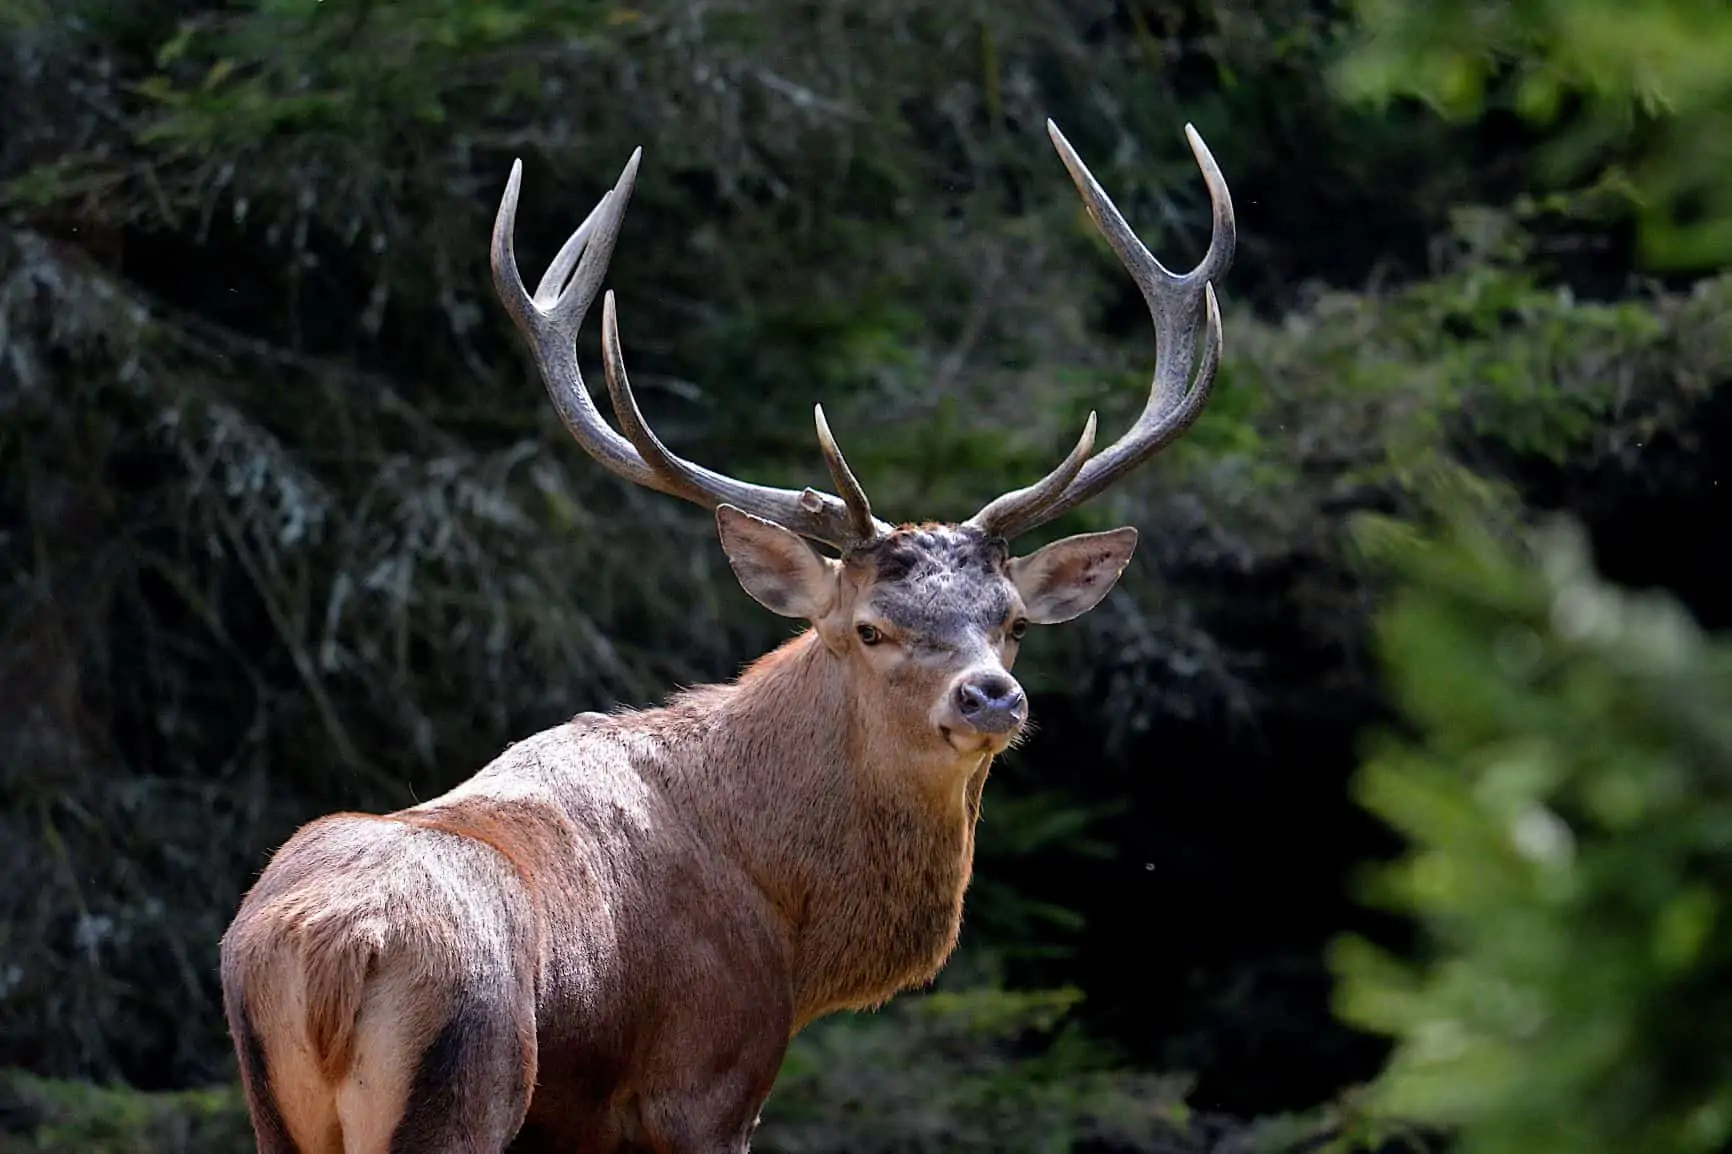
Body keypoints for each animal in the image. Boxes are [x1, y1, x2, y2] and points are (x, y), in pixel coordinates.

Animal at [218, 117, 1233, 1154]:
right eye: (870, 629)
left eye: (1014, 622)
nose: (992, 694)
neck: (790, 925)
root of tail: (332, 953)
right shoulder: (710, 1080)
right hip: (468, 1087)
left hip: (276, 1109)